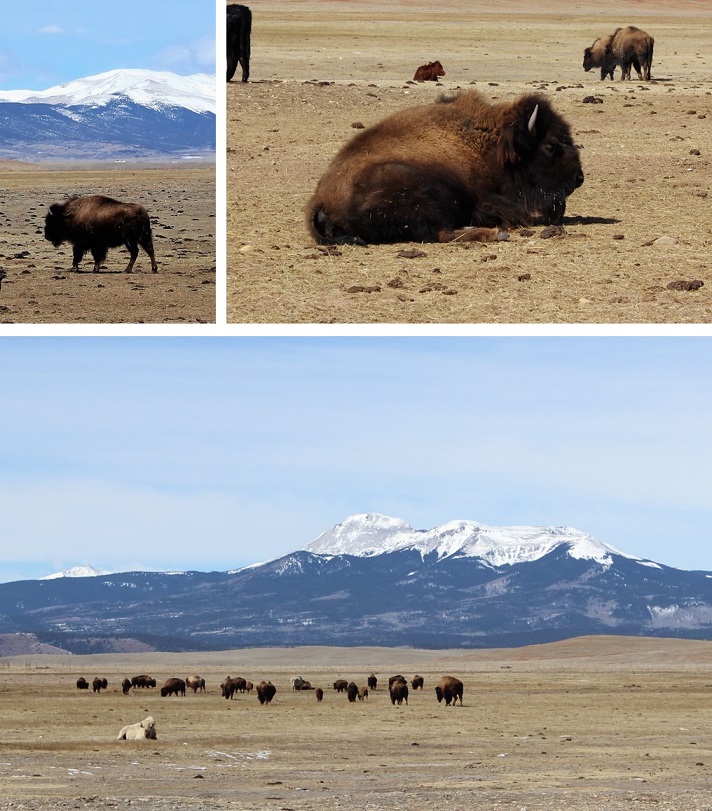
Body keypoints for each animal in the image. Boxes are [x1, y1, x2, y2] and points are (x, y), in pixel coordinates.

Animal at [306, 90, 583, 245]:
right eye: (551, 146)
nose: (579, 178)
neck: (489, 145)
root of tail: (320, 200)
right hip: (421, 197)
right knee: (440, 234)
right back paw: (495, 234)